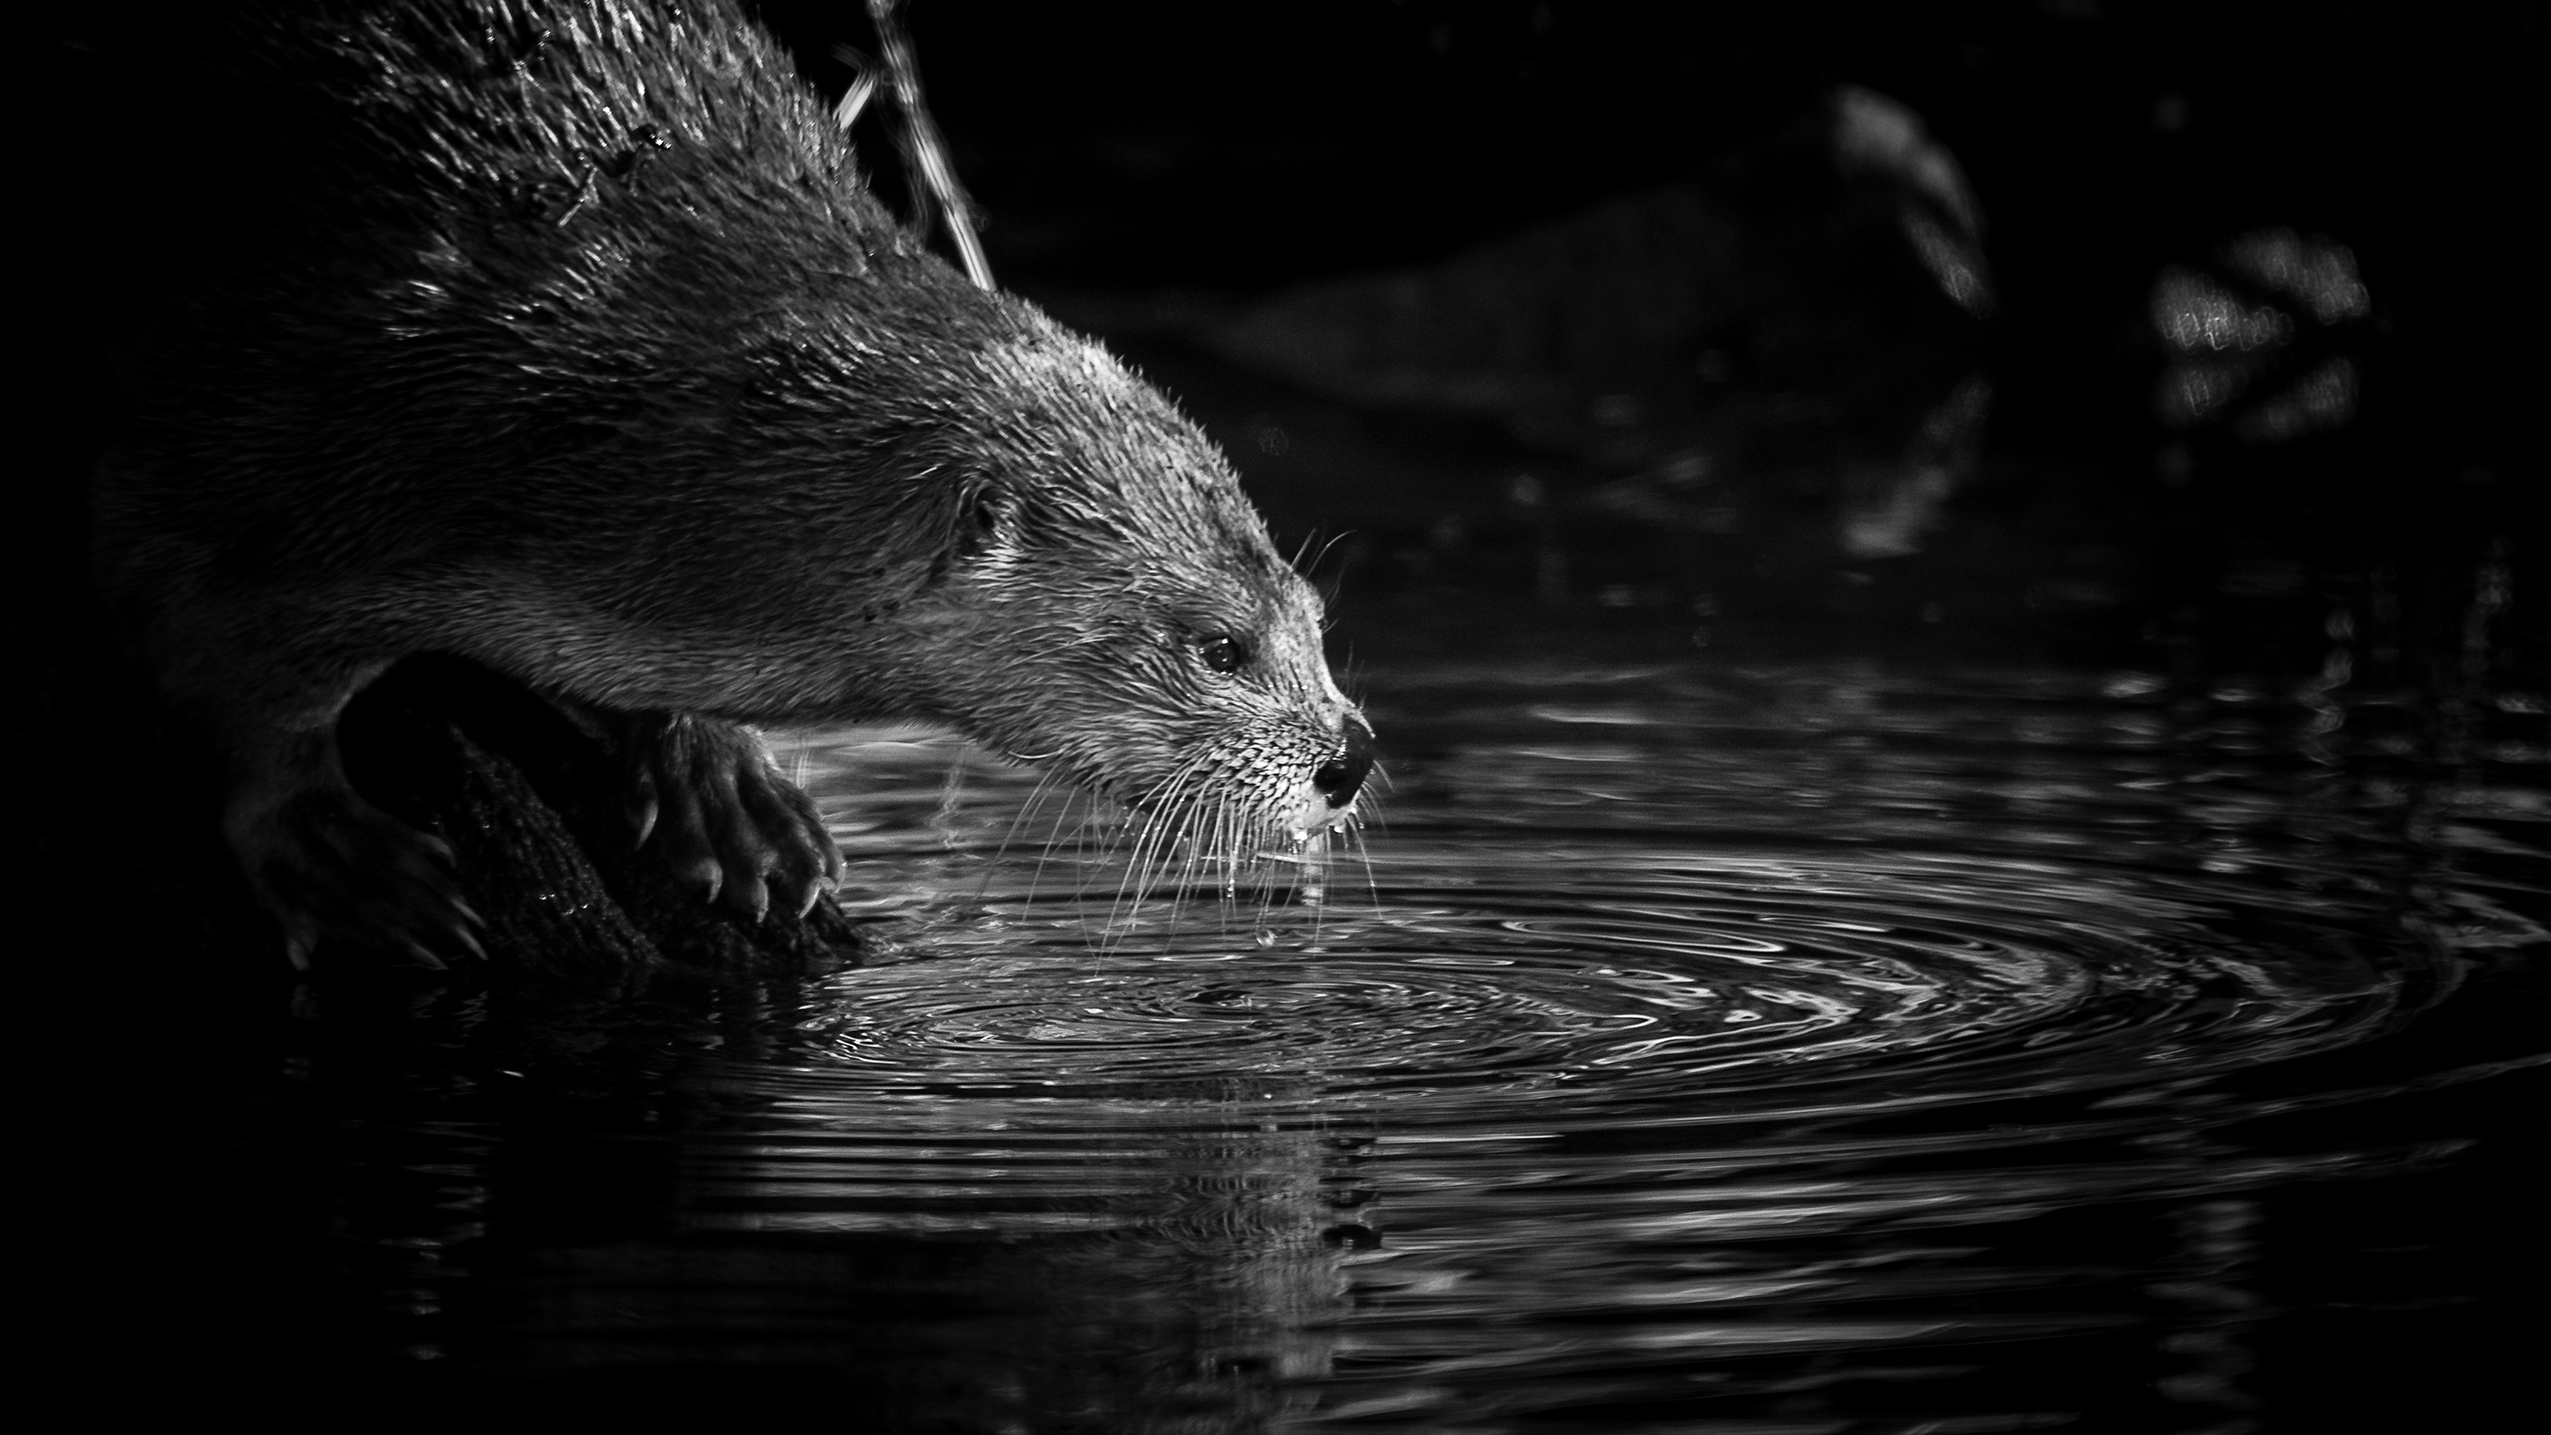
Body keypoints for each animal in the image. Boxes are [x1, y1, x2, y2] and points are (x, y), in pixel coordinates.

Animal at [88, 0, 1372, 966]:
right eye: (1217, 645)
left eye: (1312, 617)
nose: (1350, 757)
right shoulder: (265, 410)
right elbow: (217, 659)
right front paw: (332, 850)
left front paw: (725, 787)